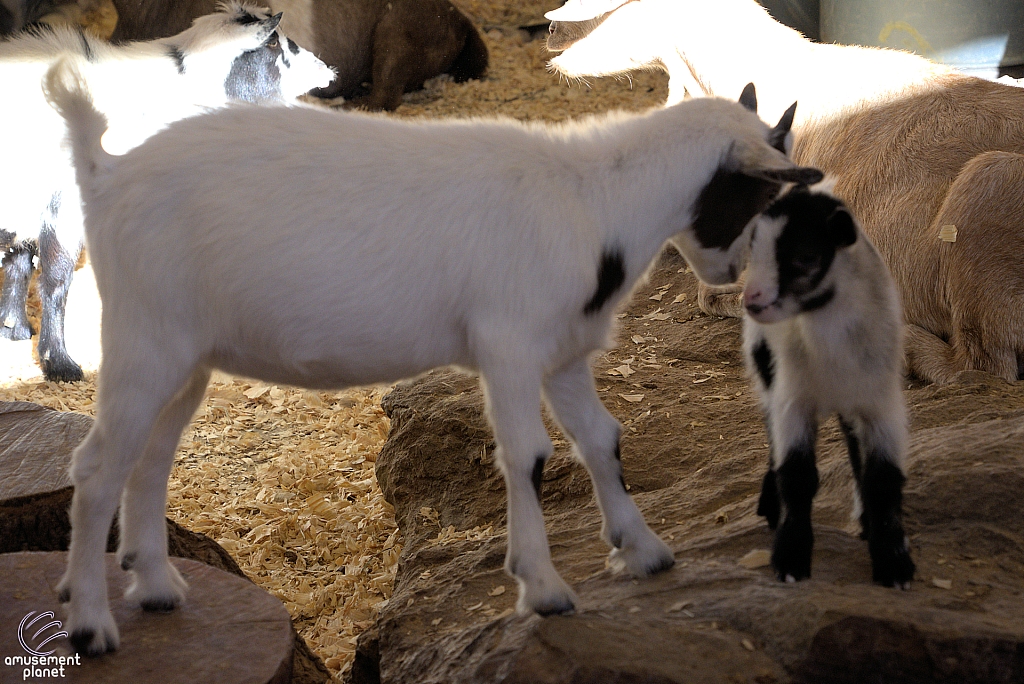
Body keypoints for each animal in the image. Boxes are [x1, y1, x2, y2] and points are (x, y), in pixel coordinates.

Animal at [0, 1, 329, 378]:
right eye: (273, 43)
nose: (325, 70)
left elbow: (21, 264)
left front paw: (14, 329)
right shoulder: (66, 206)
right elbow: (56, 278)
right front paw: (60, 364)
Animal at [745, 181, 913, 589]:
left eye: (805, 257)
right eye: (752, 250)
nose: (751, 300)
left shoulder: (882, 405)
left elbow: (883, 479)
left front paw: (894, 562)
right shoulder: (794, 400)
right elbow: (796, 475)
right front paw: (790, 558)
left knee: (852, 444)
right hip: (765, 367)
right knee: (771, 434)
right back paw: (771, 504)